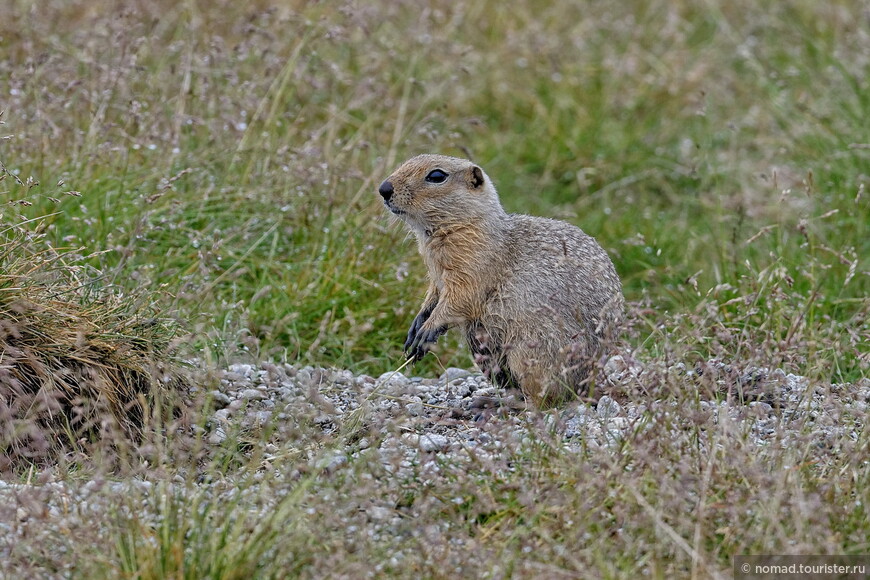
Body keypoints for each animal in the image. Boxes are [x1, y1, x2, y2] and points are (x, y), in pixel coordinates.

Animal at [378, 154, 624, 408]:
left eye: (437, 176)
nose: (384, 188)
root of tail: (586, 387)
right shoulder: (437, 278)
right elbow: (432, 296)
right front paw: (416, 325)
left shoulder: (474, 266)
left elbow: (460, 298)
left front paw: (427, 330)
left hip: (530, 353)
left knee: (543, 401)